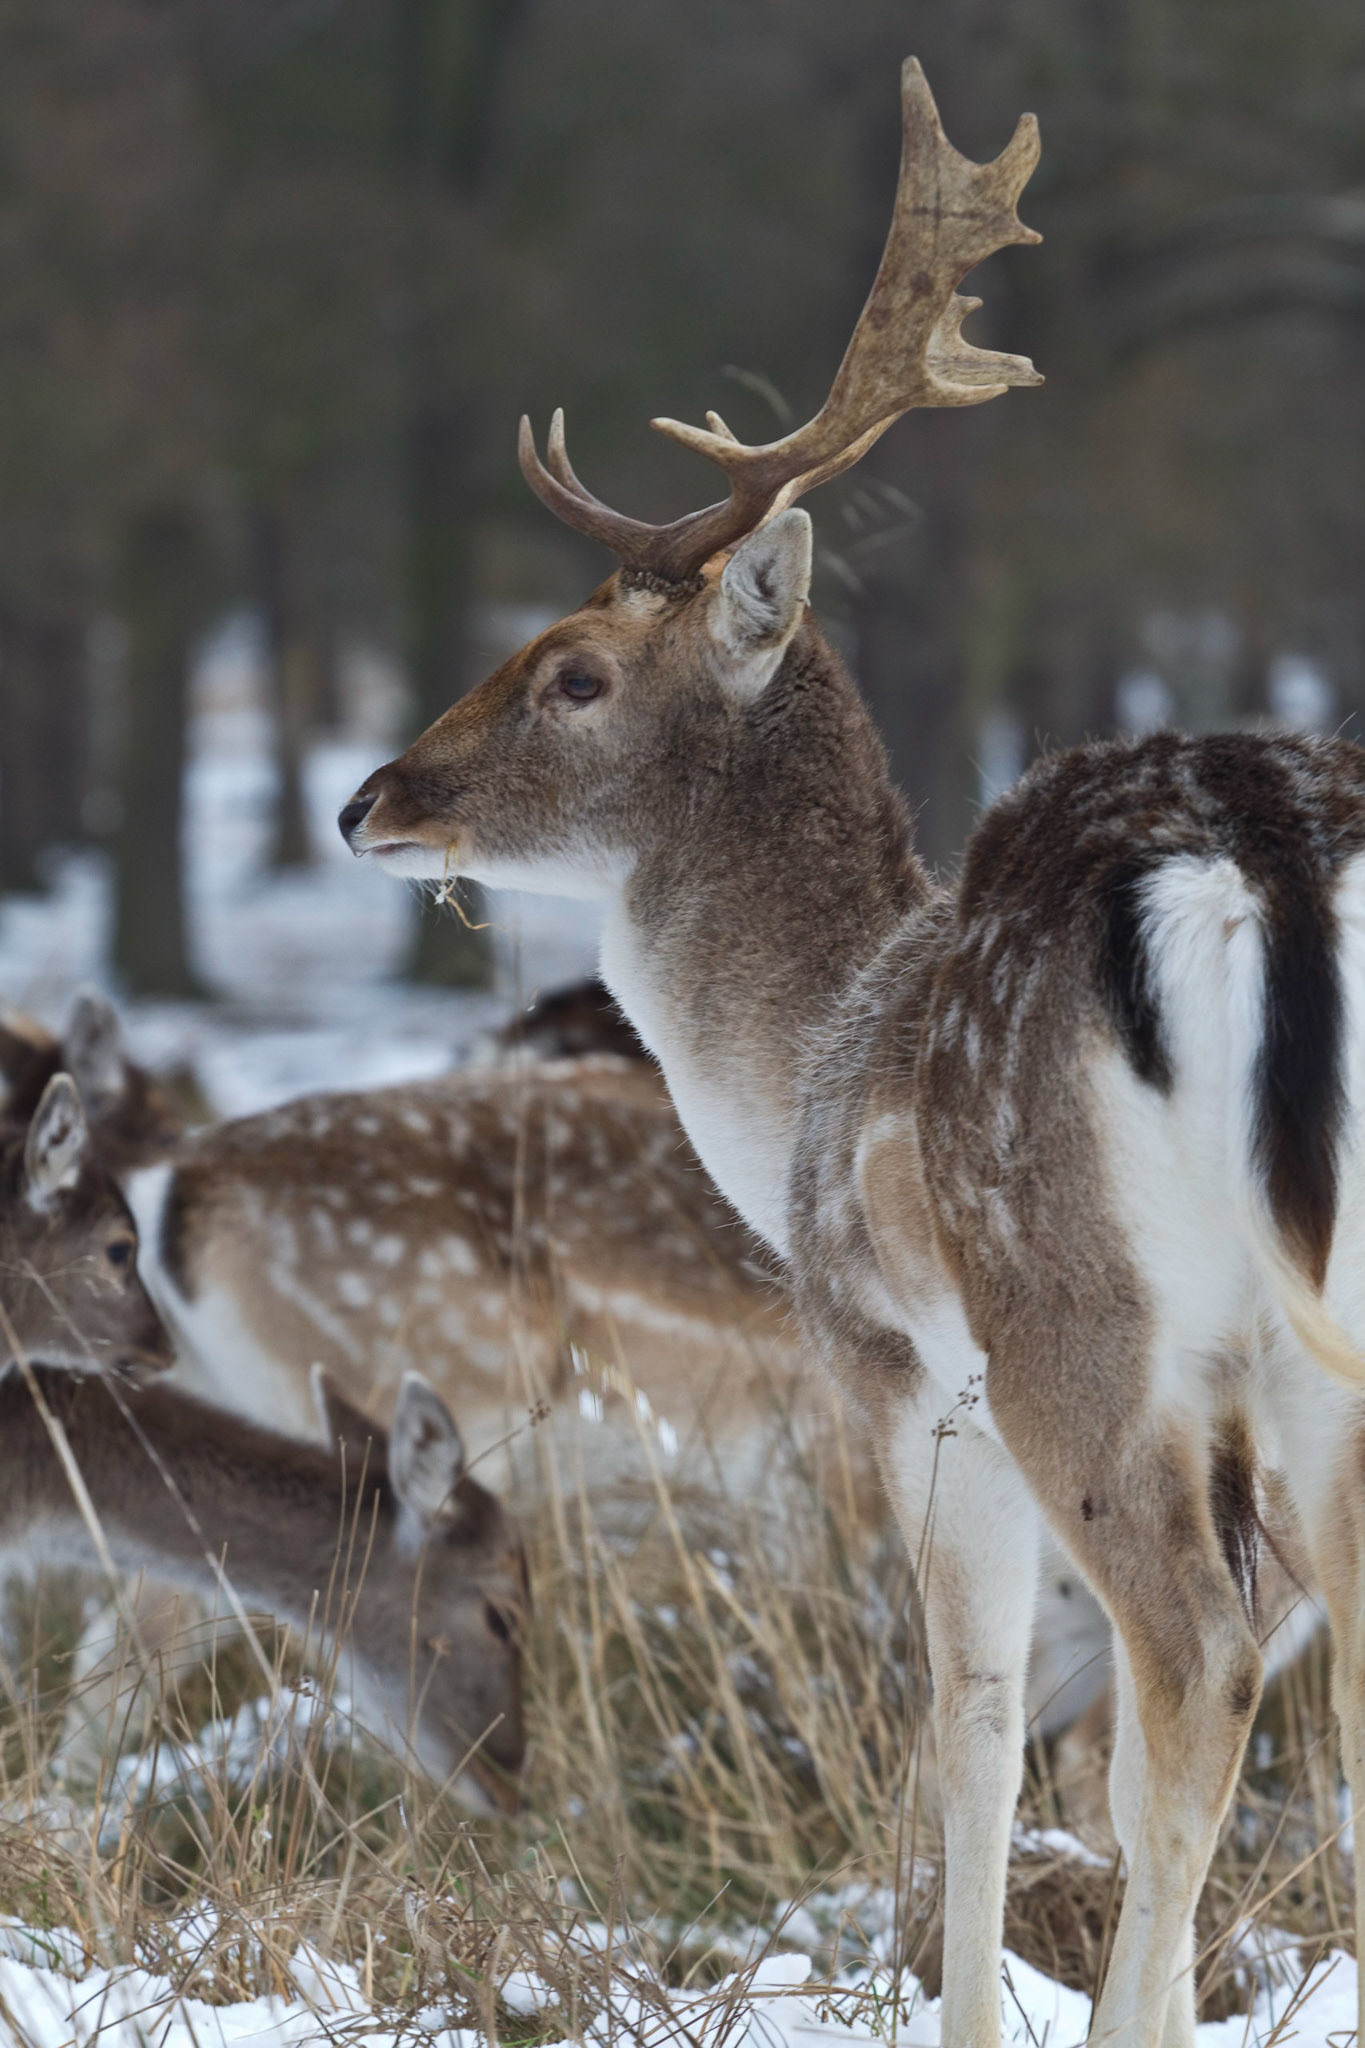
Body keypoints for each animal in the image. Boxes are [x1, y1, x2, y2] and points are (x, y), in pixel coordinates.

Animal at [337, 57, 1365, 2046]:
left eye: (574, 671)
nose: (366, 800)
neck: (804, 1049)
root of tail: (1261, 851)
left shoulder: (898, 1363)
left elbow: (971, 1722)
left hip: (1076, 1309)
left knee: (1192, 1662)